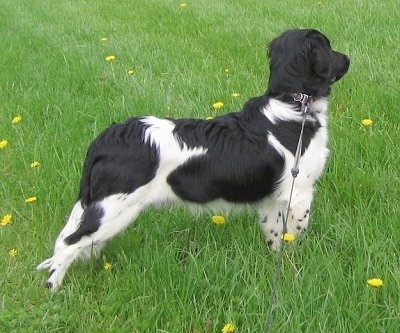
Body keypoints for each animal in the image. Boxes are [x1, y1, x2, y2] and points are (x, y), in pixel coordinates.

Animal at [38, 28, 350, 290]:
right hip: (113, 209)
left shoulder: (274, 198)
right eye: (329, 47)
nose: (347, 58)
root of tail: (106, 138)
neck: (293, 104)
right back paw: (54, 288)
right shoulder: (299, 193)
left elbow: (275, 235)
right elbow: (293, 234)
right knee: (68, 243)